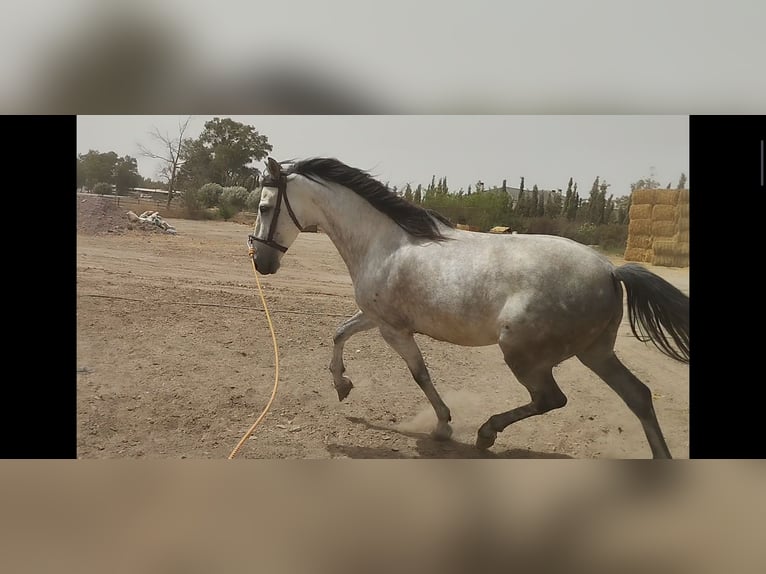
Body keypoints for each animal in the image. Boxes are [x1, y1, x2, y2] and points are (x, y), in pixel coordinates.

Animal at [249, 156, 692, 460]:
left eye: (265, 208)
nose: (260, 263)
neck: (383, 243)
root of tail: (610, 270)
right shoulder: (377, 318)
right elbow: (339, 332)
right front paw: (342, 386)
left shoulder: (394, 329)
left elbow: (420, 374)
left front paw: (443, 427)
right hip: (595, 352)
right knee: (638, 395)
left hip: (524, 355)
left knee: (551, 399)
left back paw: (486, 434)